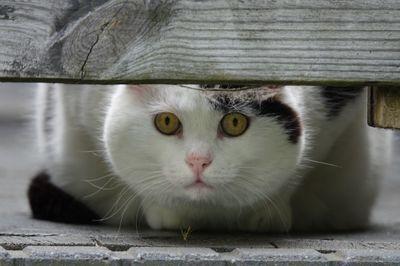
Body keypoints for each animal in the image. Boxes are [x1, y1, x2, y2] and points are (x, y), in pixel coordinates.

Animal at [29, 84, 392, 232]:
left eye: (234, 123)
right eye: (167, 122)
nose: (198, 161)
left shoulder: (338, 102)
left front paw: (265, 214)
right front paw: (164, 210)